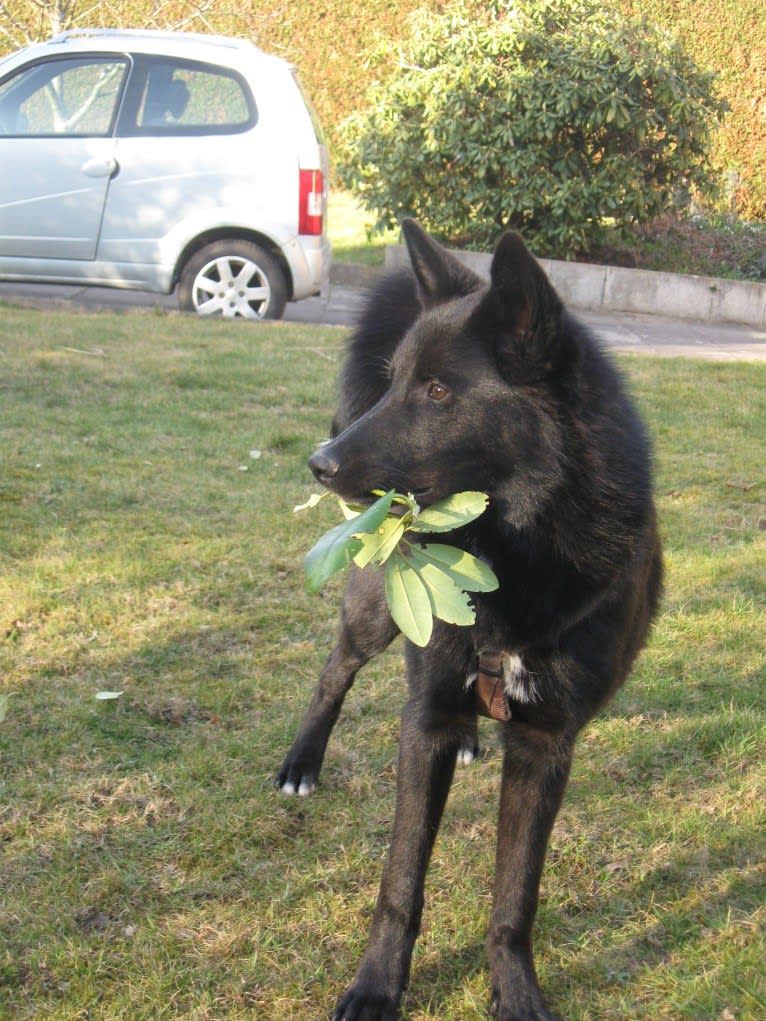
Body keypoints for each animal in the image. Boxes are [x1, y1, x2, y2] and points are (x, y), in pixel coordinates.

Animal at [279, 223, 661, 1021]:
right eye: (395, 380)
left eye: (437, 391)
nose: (319, 463)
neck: (514, 550)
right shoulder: (421, 721)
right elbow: (400, 881)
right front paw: (375, 986)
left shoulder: (547, 745)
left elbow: (516, 894)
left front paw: (514, 991)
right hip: (375, 615)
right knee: (334, 671)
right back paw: (302, 762)